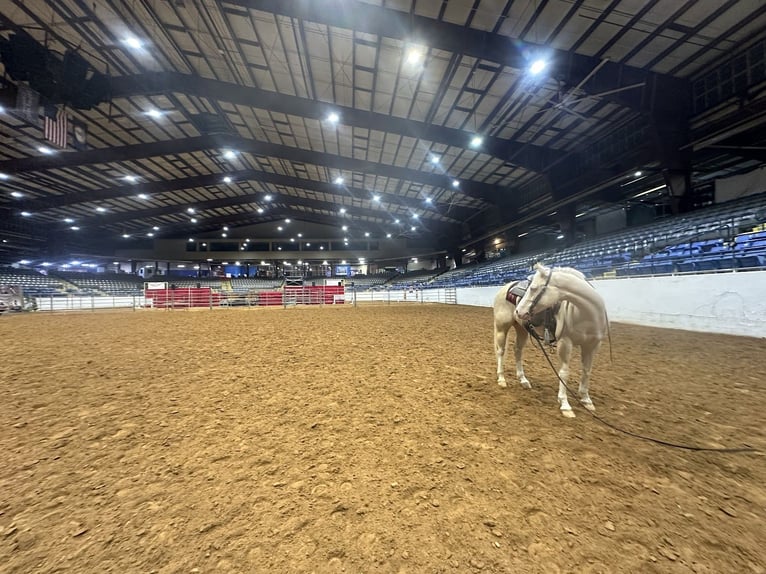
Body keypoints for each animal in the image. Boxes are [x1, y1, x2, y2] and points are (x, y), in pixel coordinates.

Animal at [493, 263, 609, 417]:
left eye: (534, 288)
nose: (518, 311)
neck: (584, 314)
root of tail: (507, 286)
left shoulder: (592, 346)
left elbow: (587, 371)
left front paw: (586, 399)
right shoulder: (565, 343)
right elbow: (564, 373)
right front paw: (565, 405)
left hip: (522, 329)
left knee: (517, 350)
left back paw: (523, 380)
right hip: (502, 327)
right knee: (501, 351)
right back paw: (501, 379)